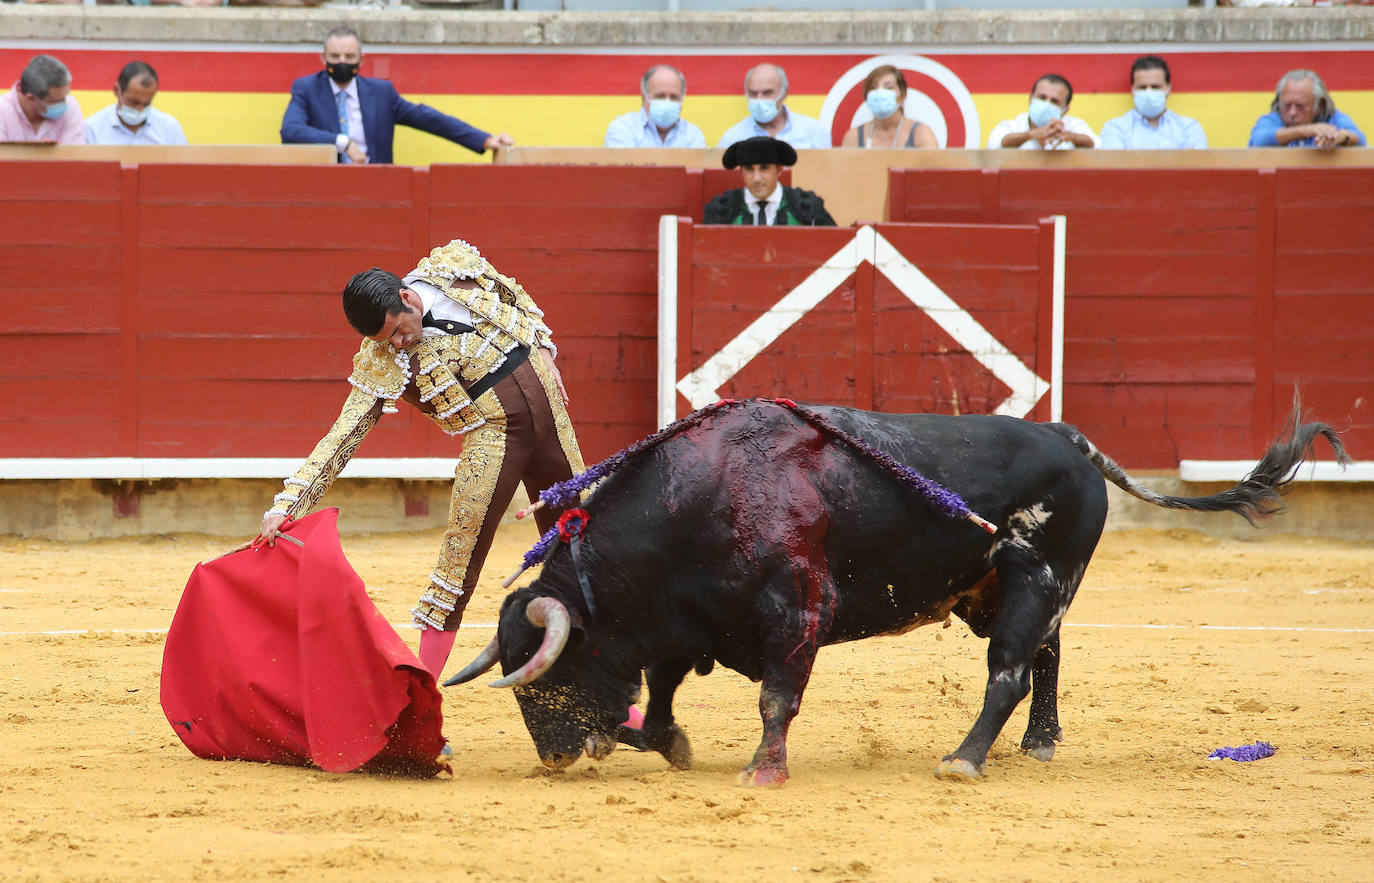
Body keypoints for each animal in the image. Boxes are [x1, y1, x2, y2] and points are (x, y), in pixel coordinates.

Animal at [445, 398, 1346, 785]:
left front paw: (762, 771)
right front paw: (665, 741)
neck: (705, 494)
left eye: (547, 676)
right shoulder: (695, 619)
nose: (556, 757)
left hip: (1036, 577)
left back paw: (964, 759)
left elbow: (775, 697)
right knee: (1049, 658)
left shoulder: (794, 613)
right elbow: (662, 689)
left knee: (1010, 670)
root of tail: (1067, 437)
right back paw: (1039, 743)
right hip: (1016, 586)